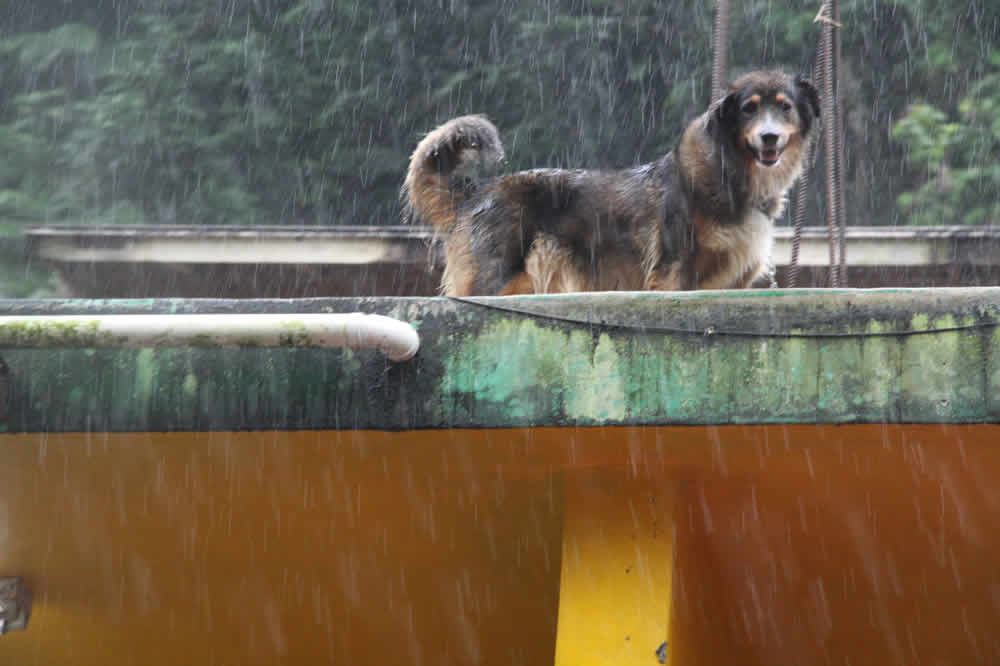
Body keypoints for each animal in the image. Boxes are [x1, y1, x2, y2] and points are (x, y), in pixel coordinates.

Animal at [400, 69, 820, 294]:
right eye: (749, 109)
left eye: (785, 107)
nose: (769, 137)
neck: (730, 173)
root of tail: (478, 192)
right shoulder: (673, 271)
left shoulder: (731, 281)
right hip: (494, 279)